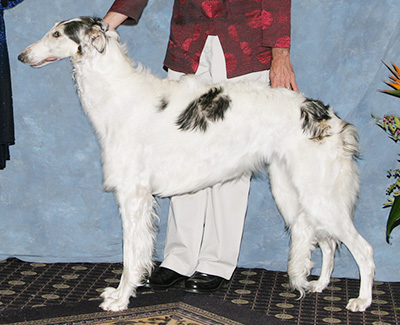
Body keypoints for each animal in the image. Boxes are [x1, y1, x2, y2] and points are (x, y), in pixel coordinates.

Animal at [18, 17, 376, 312]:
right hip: (292, 193)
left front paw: (120, 299)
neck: (119, 93)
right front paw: (123, 292)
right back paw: (319, 285)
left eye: (57, 34)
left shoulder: (133, 196)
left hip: (318, 194)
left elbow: (130, 255)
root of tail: (328, 117)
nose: (22, 56)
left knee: (363, 250)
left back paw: (362, 301)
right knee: (327, 242)